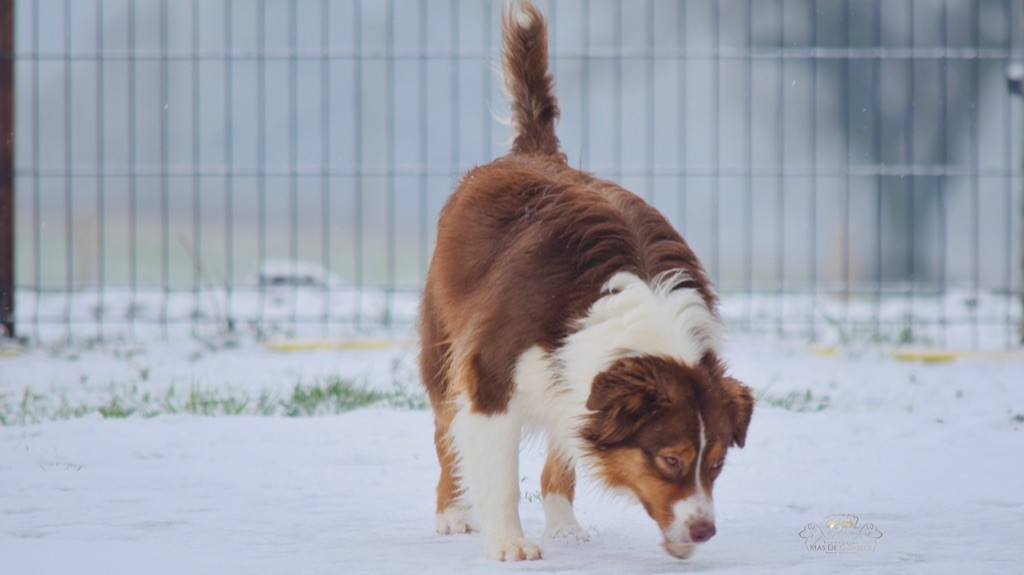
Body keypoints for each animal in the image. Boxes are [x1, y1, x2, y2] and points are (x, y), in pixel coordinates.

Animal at [415, 0, 753, 560]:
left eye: (718, 462)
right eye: (670, 459)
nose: (705, 531)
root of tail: (533, 152)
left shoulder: (576, 376)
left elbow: (567, 447)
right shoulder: (491, 372)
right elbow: (497, 472)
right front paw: (510, 543)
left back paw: (563, 524)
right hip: (442, 338)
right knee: (444, 428)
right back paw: (450, 512)